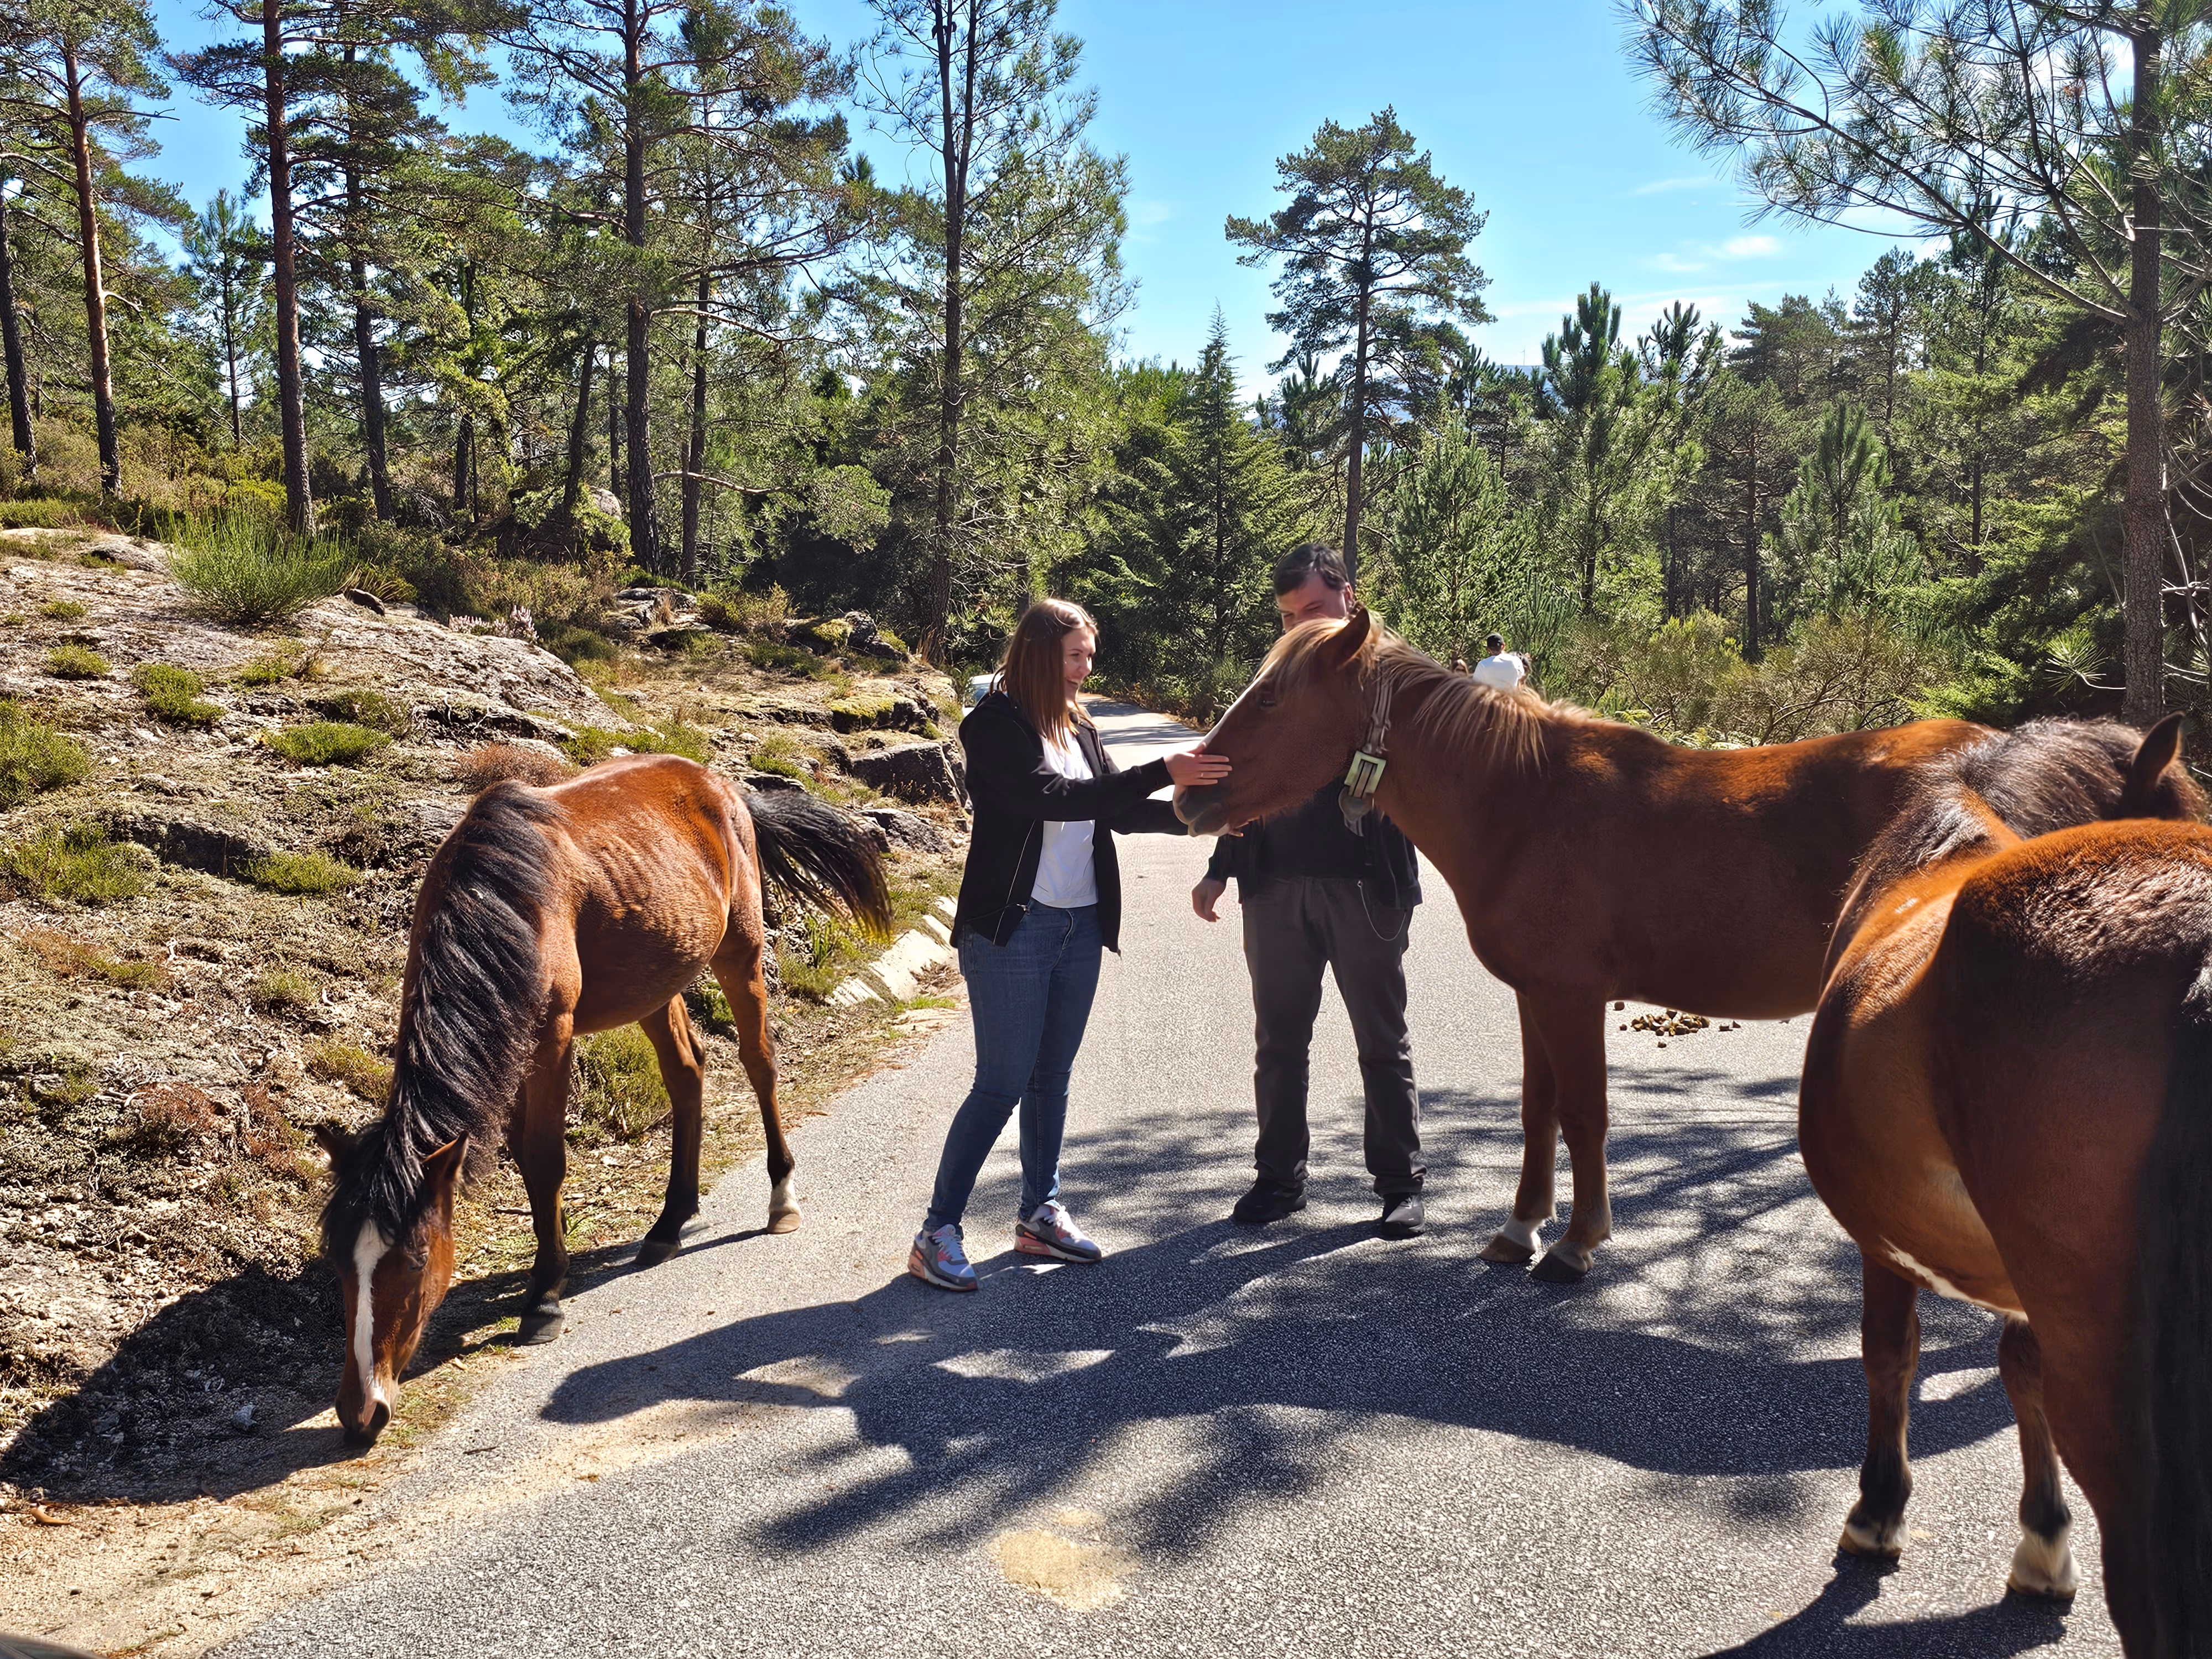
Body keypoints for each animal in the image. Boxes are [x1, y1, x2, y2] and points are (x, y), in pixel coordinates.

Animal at [314, 754, 891, 1444]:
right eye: (337, 1261)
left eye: (415, 1257)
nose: (360, 1410)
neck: (506, 897)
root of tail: (720, 785)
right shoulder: (513, 1040)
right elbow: (524, 1155)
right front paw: (550, 1258)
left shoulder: (551, 1037)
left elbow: (544, 1160)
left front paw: (544, 1297)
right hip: (657, 980)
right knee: (687, 1074)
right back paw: (671, 1221)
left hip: (740, 953)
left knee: (760, 1065)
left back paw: (781, 1198)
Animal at [1173, 606, 1988, 1281]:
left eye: (1271, 699)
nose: (1188, 793)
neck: (1525, 803)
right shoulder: (1534, 995)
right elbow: (1539, 1109)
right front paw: (1519, 1230)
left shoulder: (1572, 997)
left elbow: (1585, 1114)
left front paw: (1576, 1244)